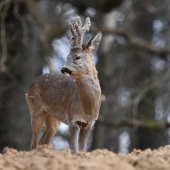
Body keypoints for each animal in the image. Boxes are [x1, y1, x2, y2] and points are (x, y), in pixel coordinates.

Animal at [25, 16, 101, 153]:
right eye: (67, 56)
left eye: (77, 57)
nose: (63, 69)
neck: (87, 106)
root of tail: (30, 86)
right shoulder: (73, 119)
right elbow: (74, 149)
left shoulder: (89, 123)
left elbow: (83, 150)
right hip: (35, 109)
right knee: (34, 143)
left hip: (53, 118)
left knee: (43, 141)